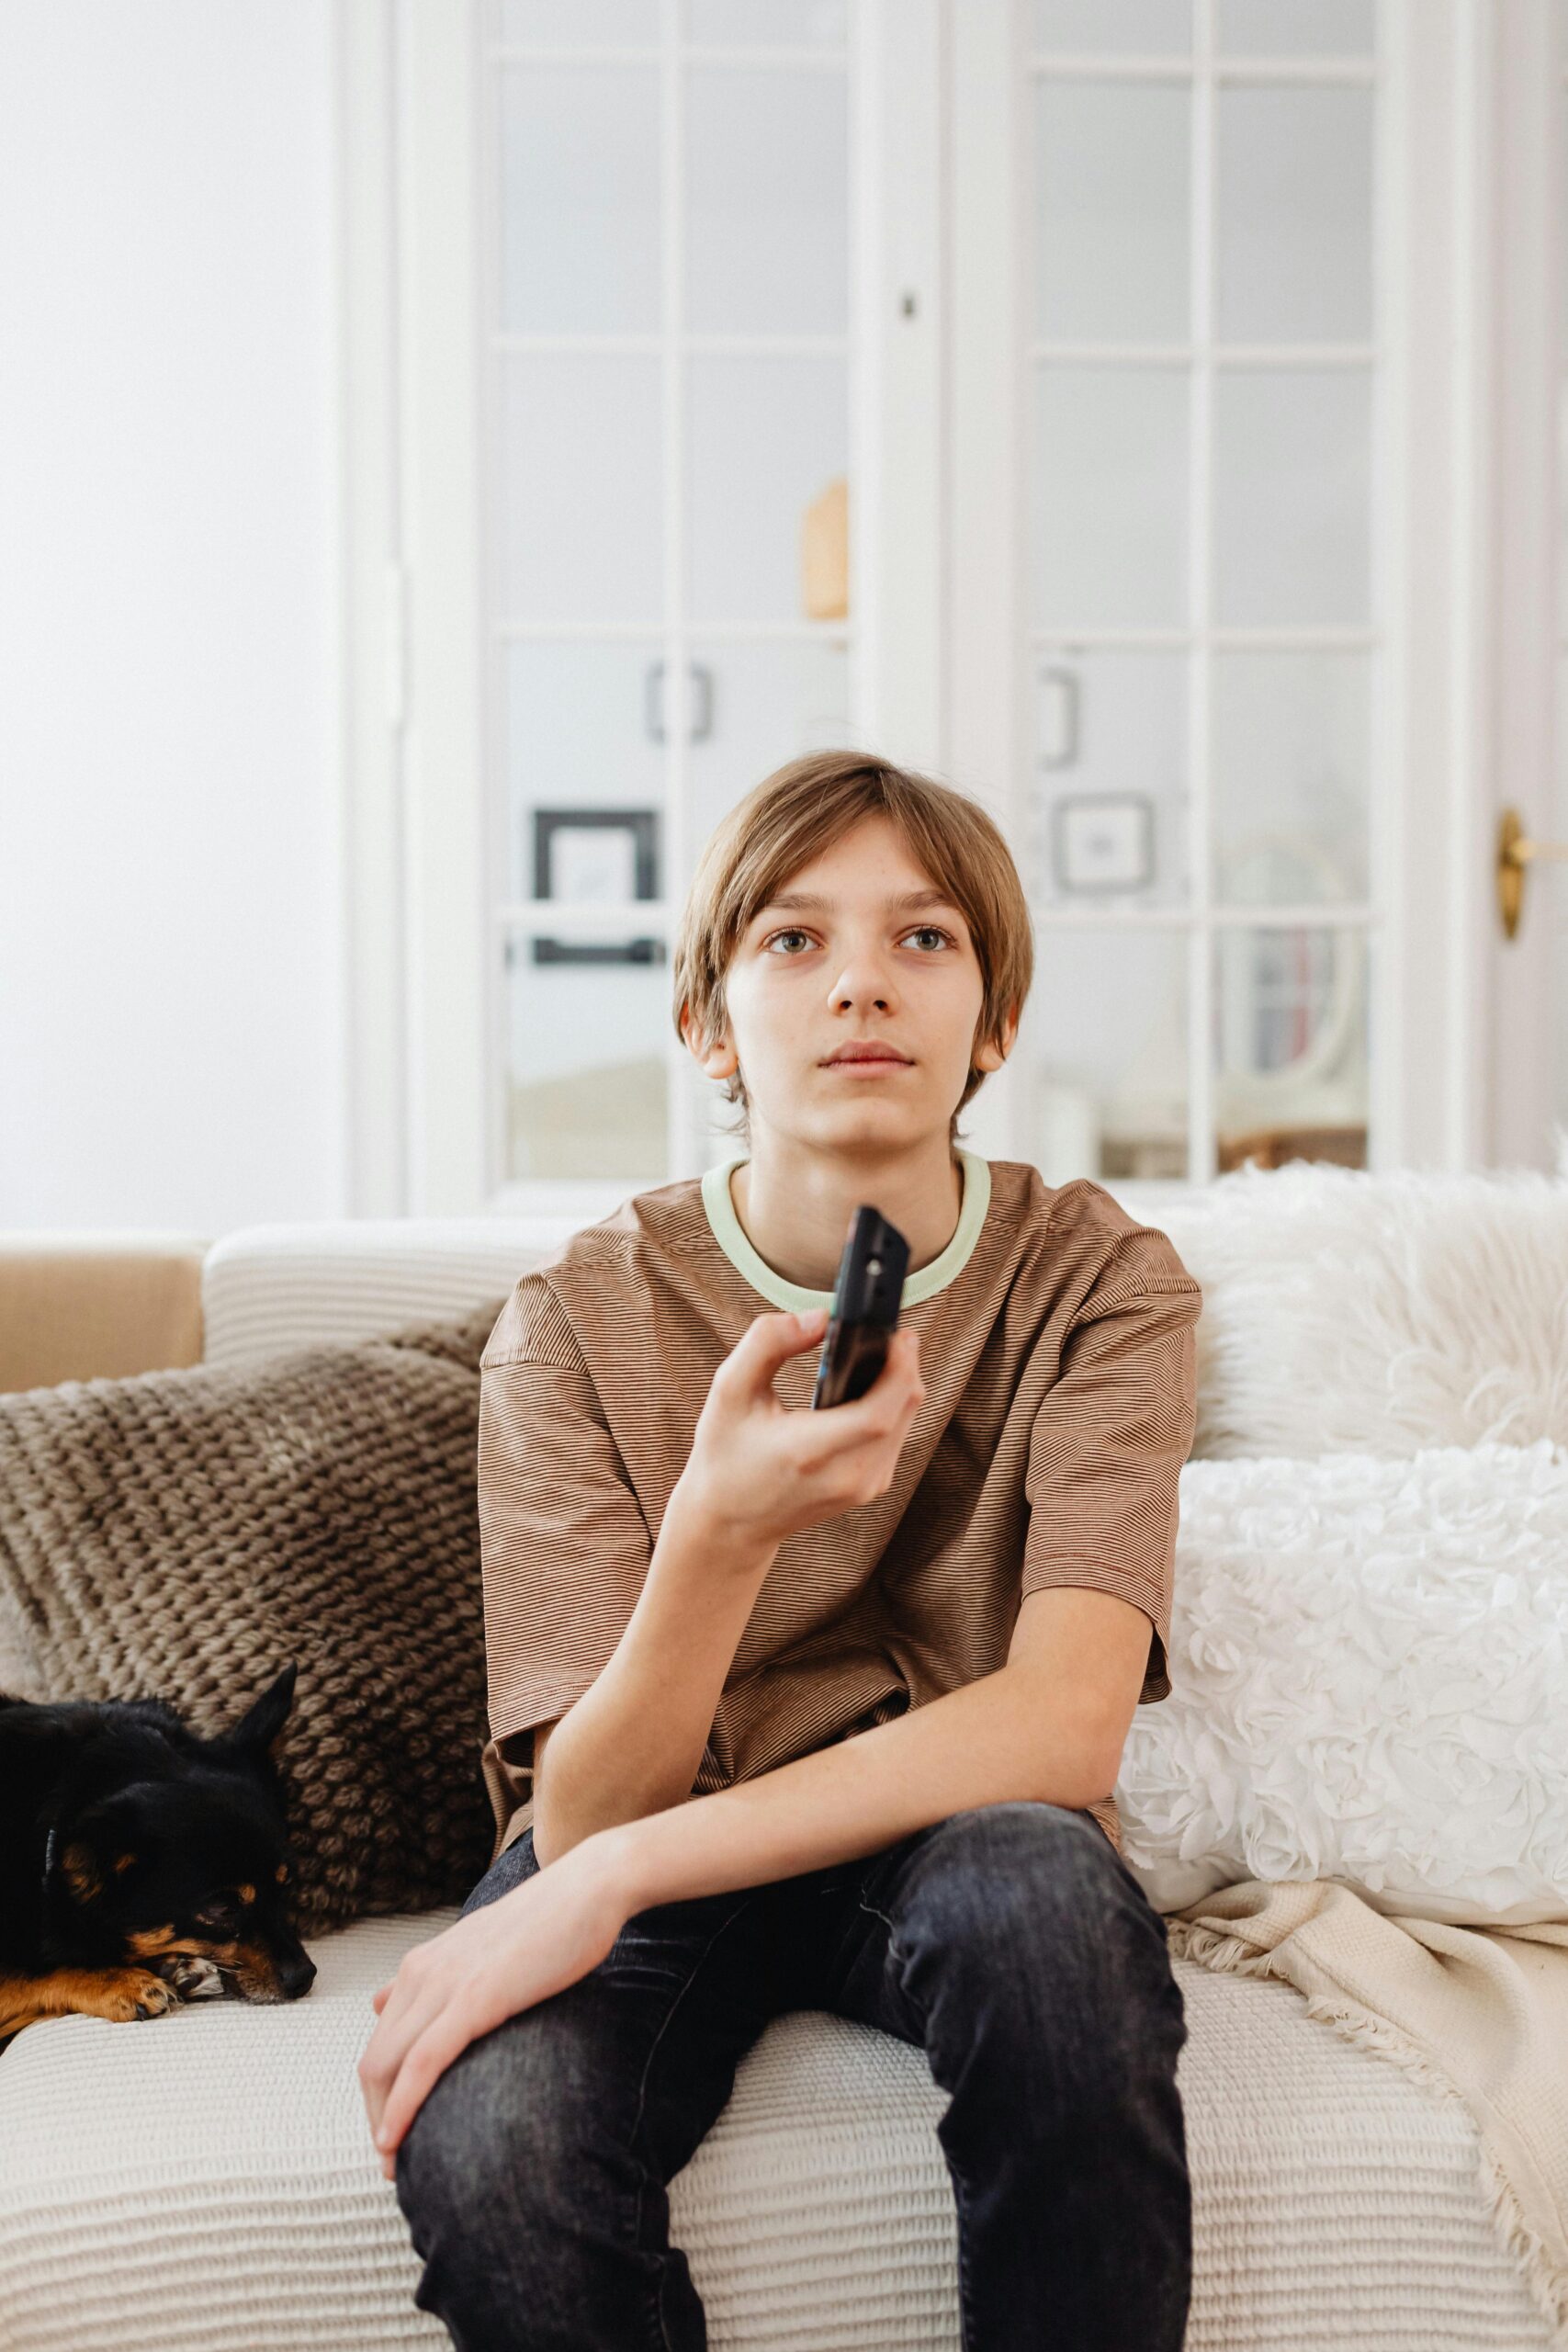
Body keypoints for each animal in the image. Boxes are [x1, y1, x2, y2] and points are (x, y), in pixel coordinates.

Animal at [0, 1656, 320, 2041]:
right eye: (222, 1909)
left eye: (286, 1885)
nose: (304, 1978)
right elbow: (23, 1974)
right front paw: (120, 1982)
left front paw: (178, 1968)